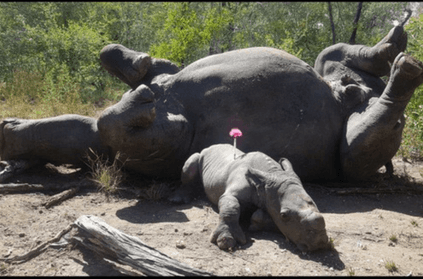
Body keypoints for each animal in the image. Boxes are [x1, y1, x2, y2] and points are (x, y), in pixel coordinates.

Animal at [0, 25, 423, 183]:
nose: (7, 128)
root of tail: (352, 90)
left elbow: (111, 123)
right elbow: (97, 128)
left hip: (352, 134)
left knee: (363, 135)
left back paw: (399, 60)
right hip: (343, 95)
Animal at [169, 144, 332, 254]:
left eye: (315, 204)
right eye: (284, 215)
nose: (319, 244)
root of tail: (209, 146)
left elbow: (261, 216)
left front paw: (256, 222)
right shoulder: (232, 192)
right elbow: (231, 206)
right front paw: (226, 241)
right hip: (200, 155)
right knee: (191, 164)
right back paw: (178, 199)